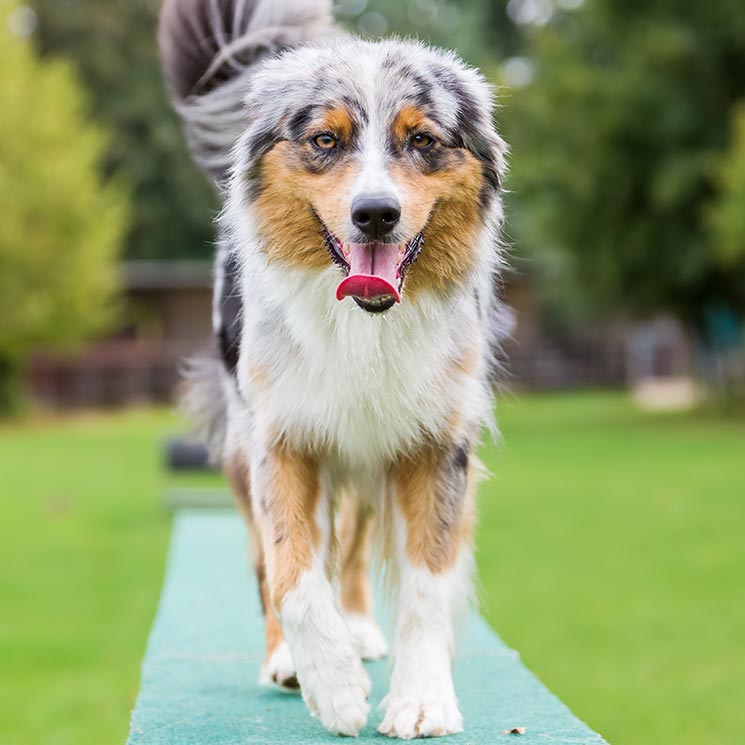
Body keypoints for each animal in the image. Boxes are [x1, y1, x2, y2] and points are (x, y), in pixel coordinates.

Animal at [157, 0, 506, 736]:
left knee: (353, 542)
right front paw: (334, 685)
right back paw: (287, 659)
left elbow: (426, 581)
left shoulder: (435, 441)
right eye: (325, 140)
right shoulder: (279, 434)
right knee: (270, 558)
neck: (365, 324)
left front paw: (421, 698)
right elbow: (291, 566)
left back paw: (361, 629)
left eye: (422, 139)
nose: (374, 213)